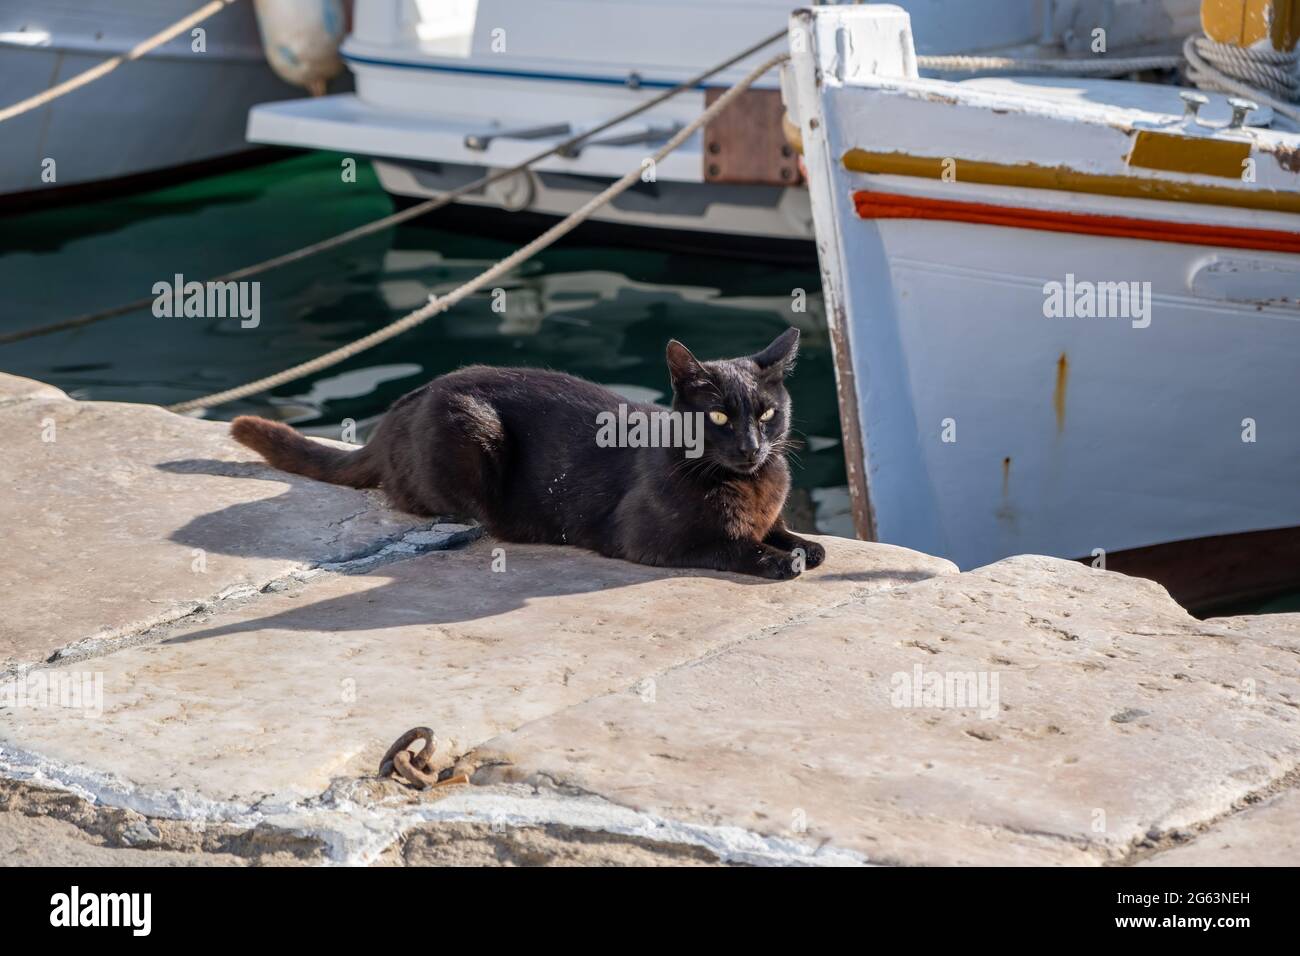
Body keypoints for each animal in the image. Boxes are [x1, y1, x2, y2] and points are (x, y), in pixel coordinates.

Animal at [230, 329, 826, 580]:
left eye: (767, 414)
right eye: (720, 417)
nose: (751, 446)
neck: (748, 482)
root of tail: (406, 404)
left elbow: (781, 531)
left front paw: (801, 543)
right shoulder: (648, 540)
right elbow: (731, 547)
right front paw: (779, 559)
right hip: (473, 428)